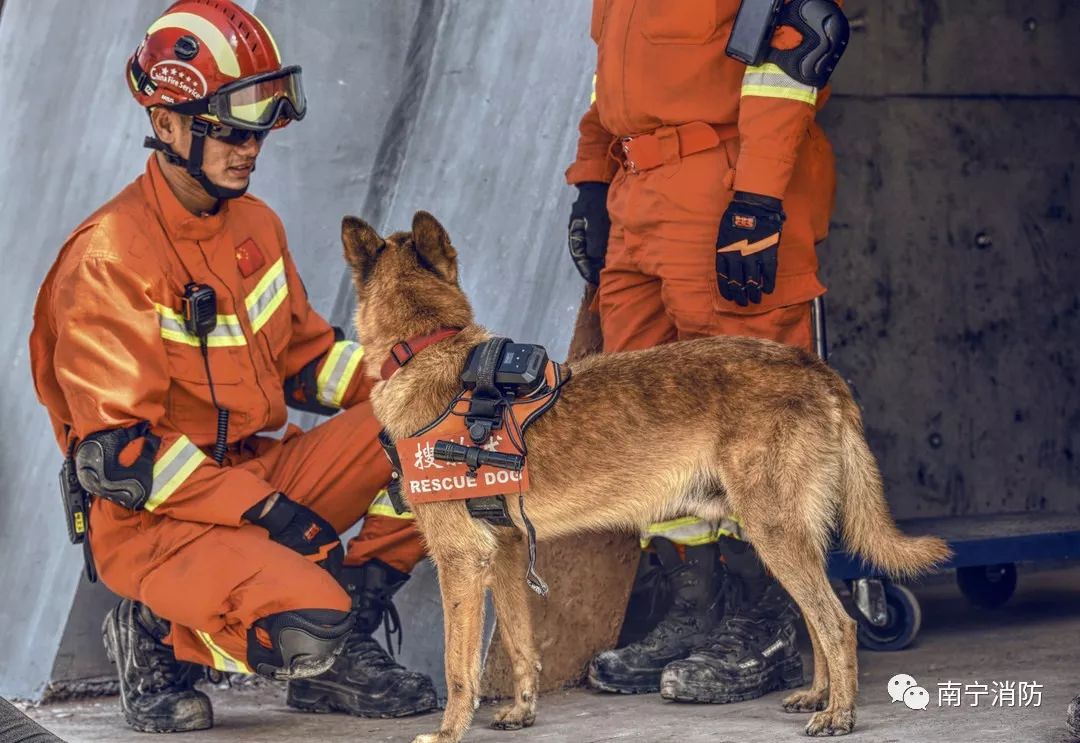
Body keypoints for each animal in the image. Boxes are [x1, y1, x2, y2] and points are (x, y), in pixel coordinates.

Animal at [341, 210, 950, 743]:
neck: (425, 347)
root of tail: (817, 367)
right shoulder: (510, 554)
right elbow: (519, 644)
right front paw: (522, 711)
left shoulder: (461, 559)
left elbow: (458, 666)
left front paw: (448, 732)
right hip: (789, 534)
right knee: (818, 620)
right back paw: (819, 695)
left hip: (774, 531)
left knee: (838, 624)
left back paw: (839, 714)